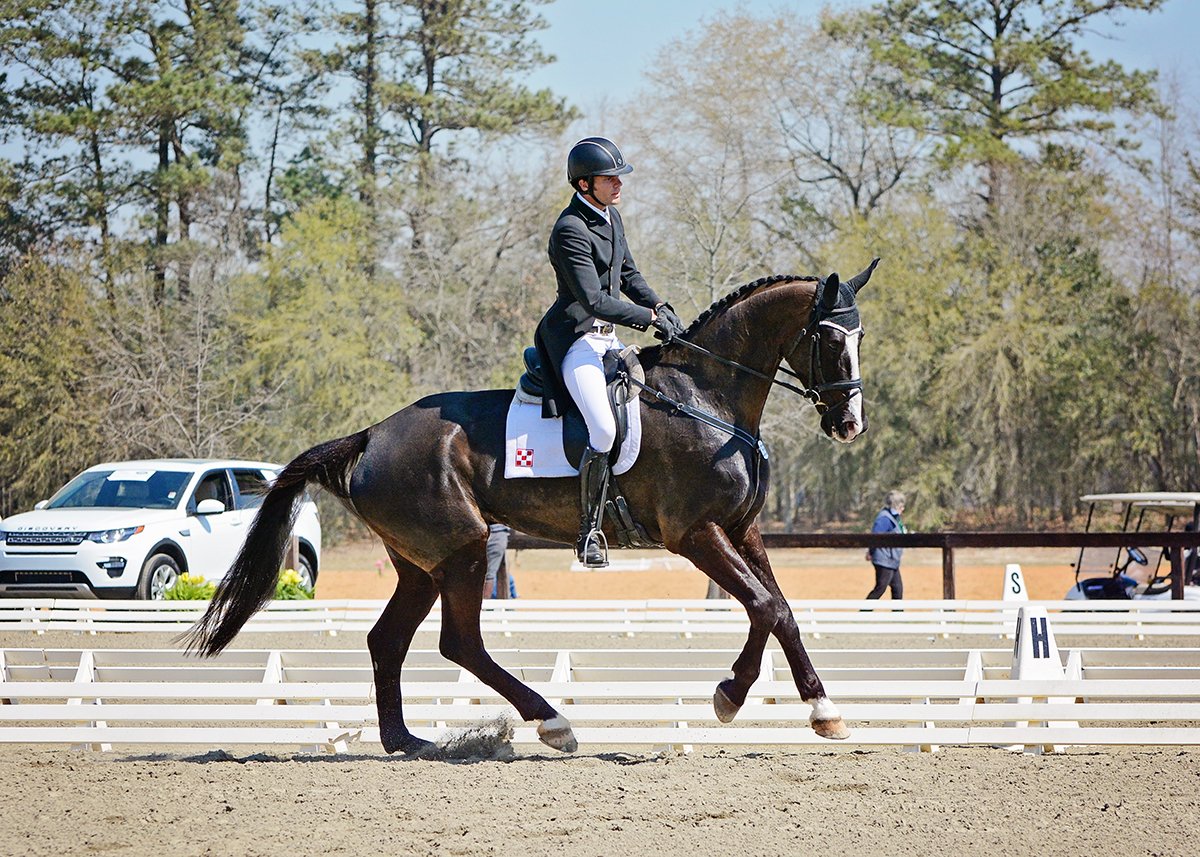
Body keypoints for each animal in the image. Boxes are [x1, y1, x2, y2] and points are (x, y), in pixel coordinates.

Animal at [184, 259, 879, 756]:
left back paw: (407, 741)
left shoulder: (743, 529)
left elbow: (780, 611)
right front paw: (745, 698)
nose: (848, 424)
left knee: (388, 640)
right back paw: (551, 723)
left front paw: (809, 708)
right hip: (465, 549)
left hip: (422, 564)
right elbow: (765, 606)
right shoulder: (695, 533)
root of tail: (371, 435)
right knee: (460, 643)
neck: (705, 395)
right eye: (827, 337)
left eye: (860, 336)